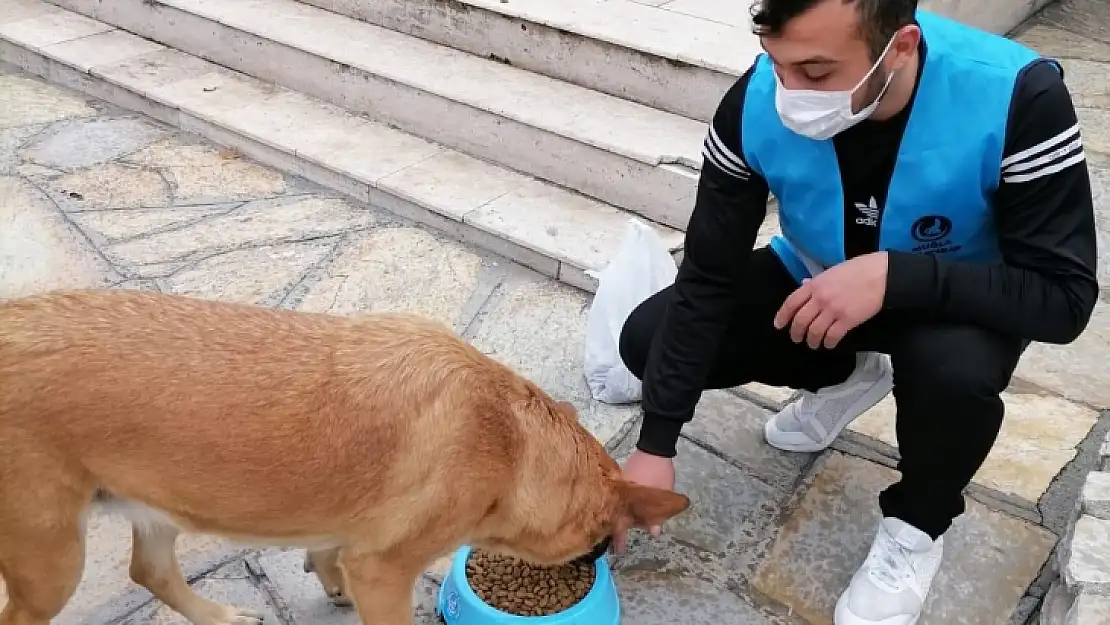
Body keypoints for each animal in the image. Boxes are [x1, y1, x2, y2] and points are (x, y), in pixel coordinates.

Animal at [0, 290, 688, 625]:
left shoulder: (355, 532)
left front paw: (326, 575)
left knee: (152, 572)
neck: (511, 442)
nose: (600, 560)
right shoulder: (385, 572)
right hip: (51, 558)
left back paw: (220, 617)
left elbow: (329, 546)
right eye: (598, 543)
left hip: (157, 500)